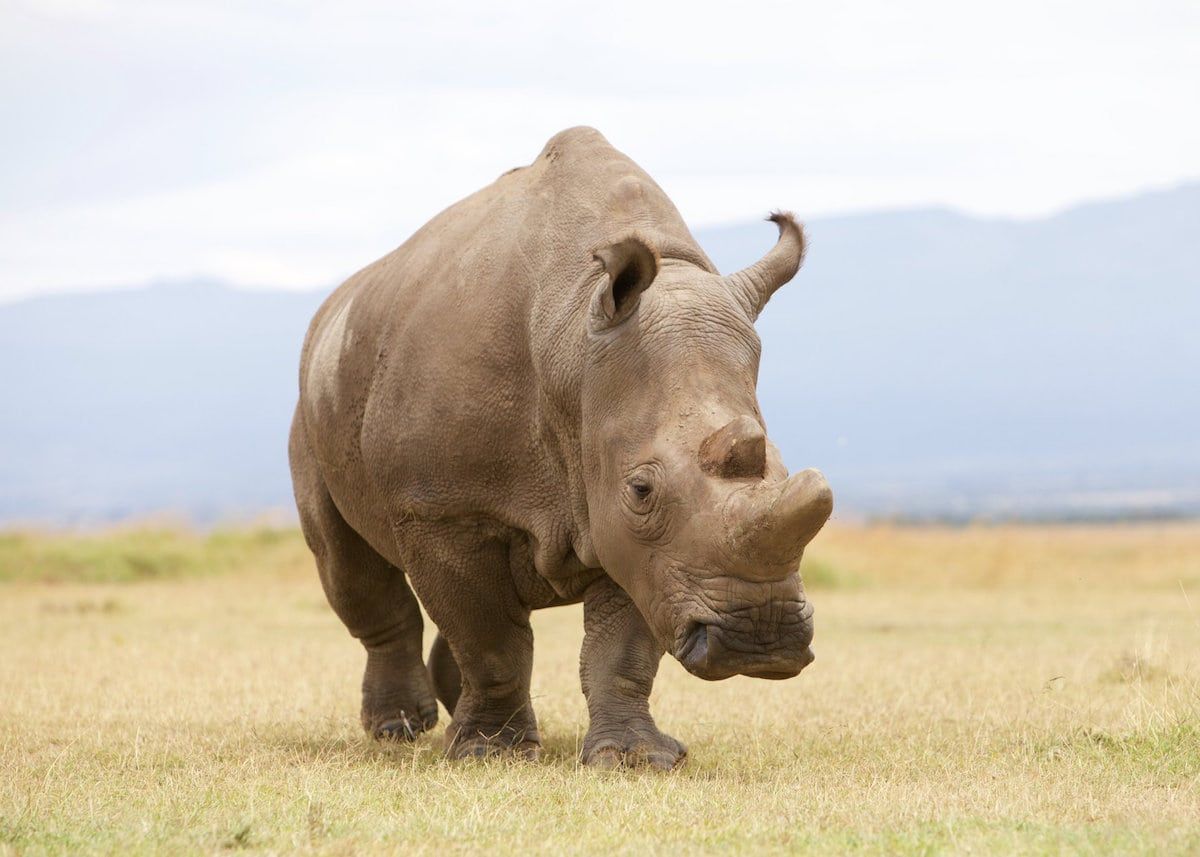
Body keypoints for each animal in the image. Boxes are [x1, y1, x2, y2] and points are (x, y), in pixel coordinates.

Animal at [290, 123, 835, 763]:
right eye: (642, 489)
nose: (762, 640)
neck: (573, 344)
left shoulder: (643, 540)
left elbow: (619, 651)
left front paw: (636, 760)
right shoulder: (442, 507)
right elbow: (491, 640)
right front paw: (490, 756)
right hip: (314, 402)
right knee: (348, 565)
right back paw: (399, 730)